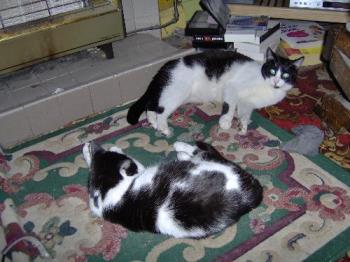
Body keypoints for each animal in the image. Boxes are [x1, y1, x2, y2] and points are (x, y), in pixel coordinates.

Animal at [82, 140, 262, 238]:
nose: (89, 142)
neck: (104, 193)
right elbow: (134, 163)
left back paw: (181, 150)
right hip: (216, 165)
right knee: (200, 152)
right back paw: (181, 150)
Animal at [126, 47, 304, 136]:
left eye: (286, 75)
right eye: (273, 71)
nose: (276, 81)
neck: (265, 85)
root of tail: (166, 65)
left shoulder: (248, 104)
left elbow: (245, 114)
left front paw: (242, 126)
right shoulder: (232, 87)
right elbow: (230, 106)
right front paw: (225, 121)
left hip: (172, 93)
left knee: (151, 105)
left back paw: (153, 122)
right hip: (176, 92)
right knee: (161, 110)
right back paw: (163, 127)